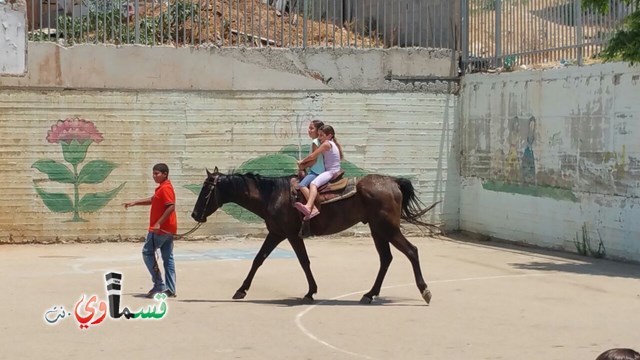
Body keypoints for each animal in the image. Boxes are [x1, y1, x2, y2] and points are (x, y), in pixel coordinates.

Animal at [190, 167, 440, 306]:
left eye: (206, 190)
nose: (194, 214)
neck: (274, 195)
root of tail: (393, 182)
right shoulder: (276, 233)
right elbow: (258, 259)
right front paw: (241, 290)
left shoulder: (290, 234)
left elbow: (303, 261)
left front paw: (310, 292)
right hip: (377, 230)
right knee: (386, 259)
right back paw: (369, 294)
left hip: (387, 229)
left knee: (411, 251)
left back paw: (425, 291)